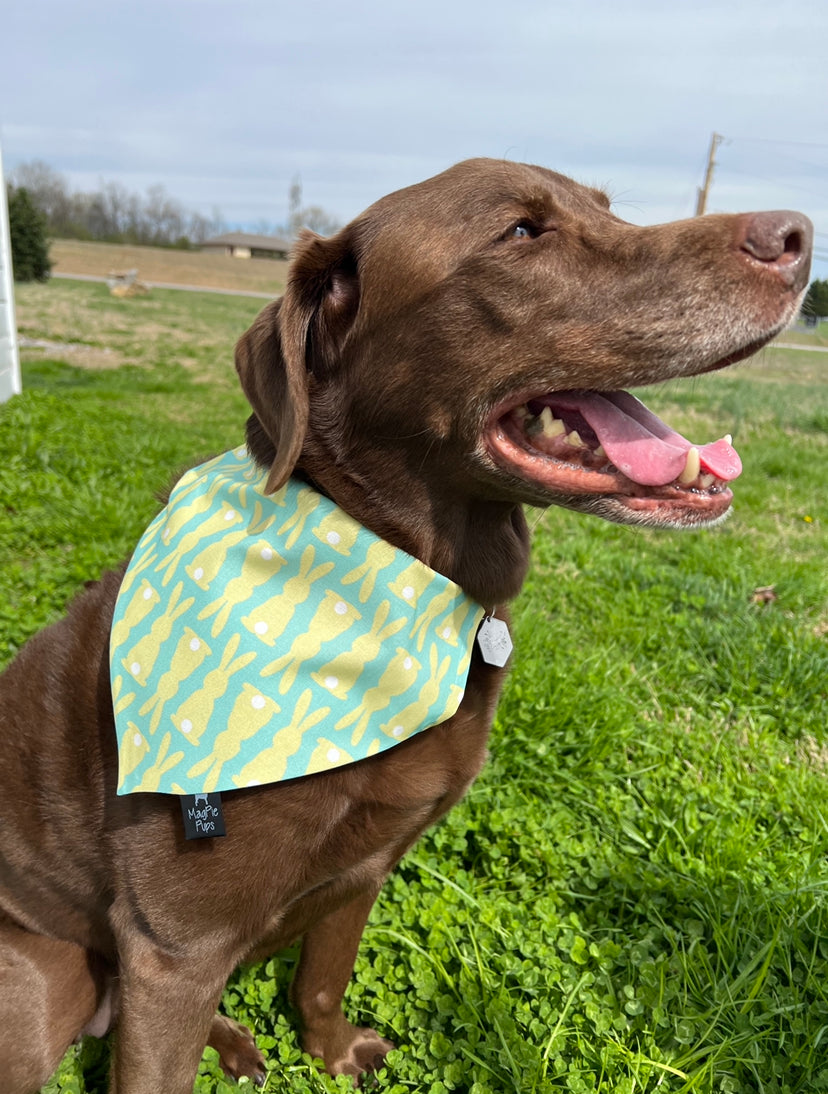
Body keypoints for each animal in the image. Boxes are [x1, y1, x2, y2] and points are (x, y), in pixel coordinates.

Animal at [0, 159, 809, 1094]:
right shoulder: (176, 946)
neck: (398, 572)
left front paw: (333, 1053)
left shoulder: (368, 862)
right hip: (43, 988)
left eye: (609, 209)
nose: (798, 236)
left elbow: (322, 976)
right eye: (522, 233)